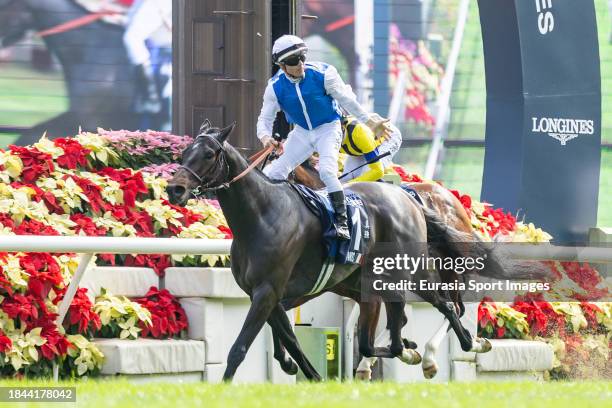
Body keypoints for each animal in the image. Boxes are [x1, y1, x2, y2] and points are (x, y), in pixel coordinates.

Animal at [167, 119, 492, 380]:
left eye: (209, 154)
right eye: (184, 153)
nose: (175, 189)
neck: (261, 215)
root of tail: (410, 200)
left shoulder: (268, 291)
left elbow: (240, 348)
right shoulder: (267, 294)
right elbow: (290, 340)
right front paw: (303, 371)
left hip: (415, 270)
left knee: (449, 307)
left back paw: (457, 346)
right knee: (386, 334)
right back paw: (407, 352)